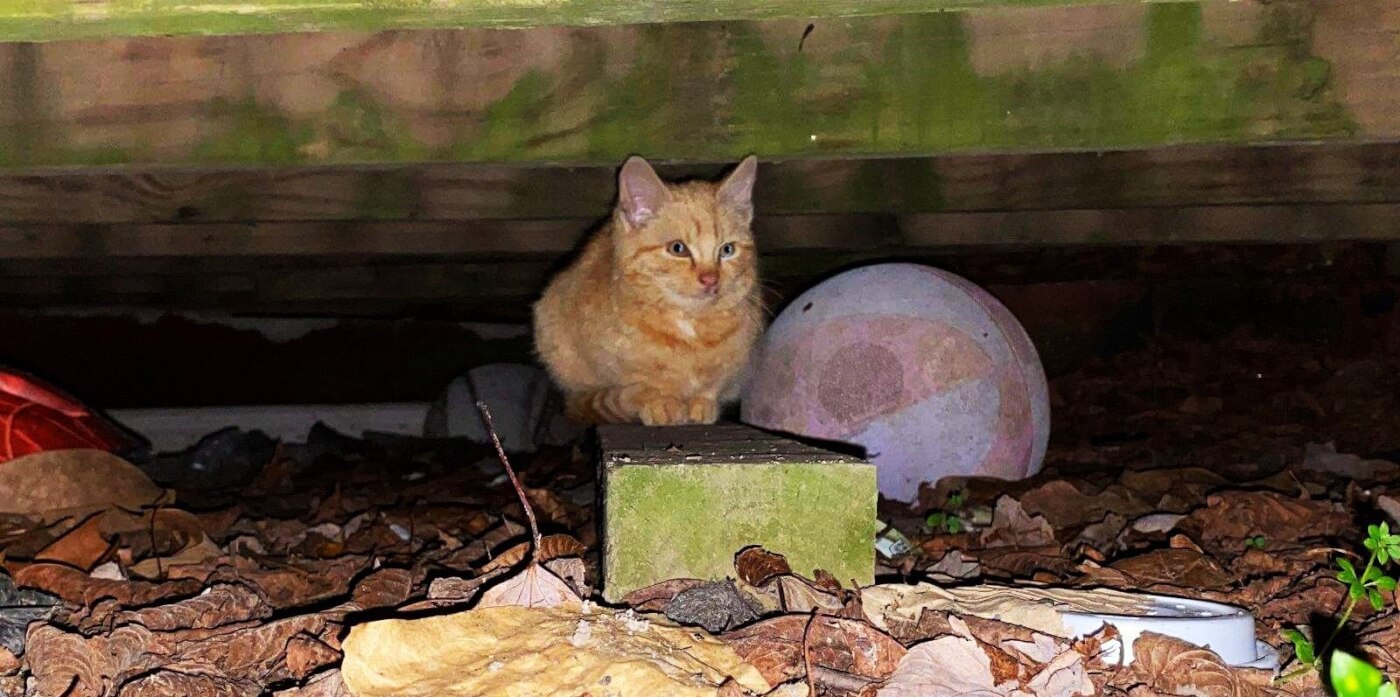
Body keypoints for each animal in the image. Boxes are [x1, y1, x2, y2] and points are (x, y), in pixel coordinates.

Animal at [529, 155, 761, 425]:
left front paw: (702, 404)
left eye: (727, 250)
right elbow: (644, 384)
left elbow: (711, 385)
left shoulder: (736, 360)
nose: (710, 279)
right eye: (678, 248)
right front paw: (661, 403)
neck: (690, 327)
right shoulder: (610, 360)